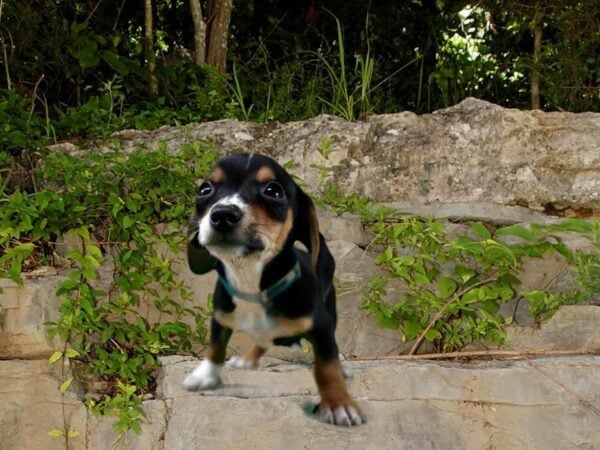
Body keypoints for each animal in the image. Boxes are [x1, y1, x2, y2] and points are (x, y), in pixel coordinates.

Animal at [182, 154, 366, 426]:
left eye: (273, 191)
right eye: (205, 189)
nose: (223, 214)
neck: (251, 282)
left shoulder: (321, 327)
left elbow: (327, 366)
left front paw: (338, 403)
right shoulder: (220, 317)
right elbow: (215, 347)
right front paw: (204, 377)